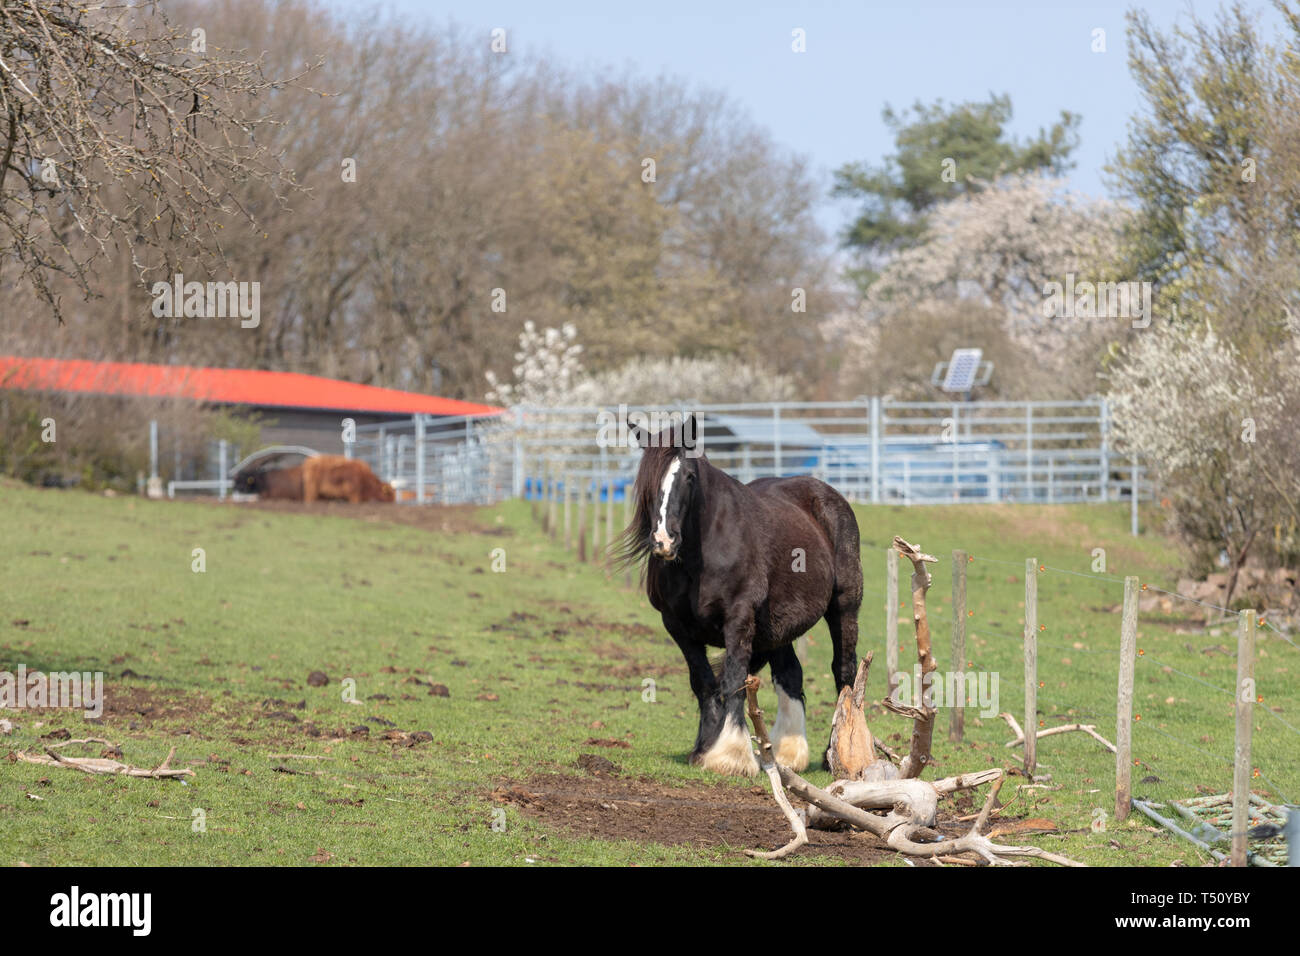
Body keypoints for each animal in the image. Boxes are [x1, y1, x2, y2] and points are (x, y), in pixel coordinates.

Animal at [618, 416, 863, 780]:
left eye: (689, 476)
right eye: (649, 477)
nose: (663, 540)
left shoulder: (738, 619)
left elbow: (733, 678)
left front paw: (731, 755)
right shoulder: (677, 626)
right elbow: (704, 682)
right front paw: (704, 748)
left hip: (844, 608)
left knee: (843, 672)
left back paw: (834, 753)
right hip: (778, 627)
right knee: (790, 673)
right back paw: (788, 752)